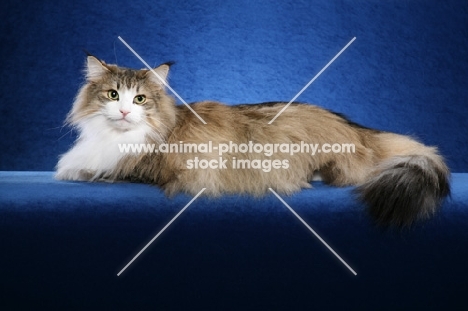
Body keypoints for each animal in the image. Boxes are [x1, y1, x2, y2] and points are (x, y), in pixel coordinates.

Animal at [55, 54, 450, 228]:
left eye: (139, 99)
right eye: (112, 95)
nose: (124, 112)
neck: (116, 136)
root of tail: (355, 127)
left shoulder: (140, 168)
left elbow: (92, 170)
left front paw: (71, 172)